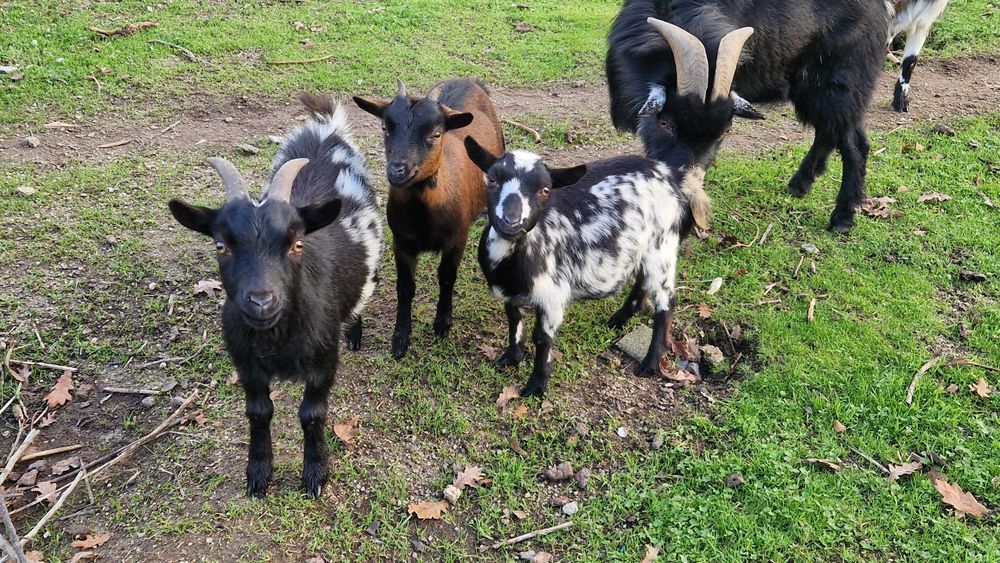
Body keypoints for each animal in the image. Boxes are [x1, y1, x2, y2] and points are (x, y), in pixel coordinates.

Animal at [167, 95, 384, 497]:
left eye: (297, 243)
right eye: (220, 245)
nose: (261, 301)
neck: (276, 338)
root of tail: (325, 128)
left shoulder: (323, 360)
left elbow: (312, 414)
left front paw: (314, 475)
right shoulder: (246, 363)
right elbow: (258, 412)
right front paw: (258, 473)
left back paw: (355, 332)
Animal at [353, 78, 504, 359]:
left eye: (435, 134)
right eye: (385, 127)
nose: (398, 170)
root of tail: (468, 80)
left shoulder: (456, 239)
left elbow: (446, 277)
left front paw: (442, 324)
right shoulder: (402, 242)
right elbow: (405, 287)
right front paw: (400, 338)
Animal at [461, 26, 745, 397]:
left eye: (545, 189)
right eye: (492, 178)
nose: (511, 220)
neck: (515, 257)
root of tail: (670, 174)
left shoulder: (552, 297)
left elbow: (542, 339)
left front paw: (536, 386)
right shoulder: (511, 294)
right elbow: (514, 323)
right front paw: (510, 358)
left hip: (663, 248)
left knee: (665, 301)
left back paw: (650, 363)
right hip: (643, 247)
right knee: (641, 283)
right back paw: (619, 320)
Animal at [606, 0, 892, 232]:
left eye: (726, 130)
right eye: (665, 123)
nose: (689, 207)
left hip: (842, 85)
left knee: (854, 143)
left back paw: (843, 218)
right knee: (829, 132)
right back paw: (800, 185)